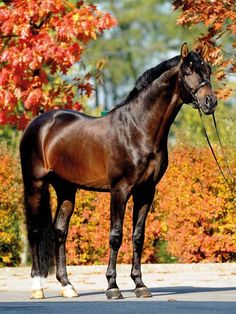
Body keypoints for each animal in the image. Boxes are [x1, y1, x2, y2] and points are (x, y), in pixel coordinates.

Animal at [20, 42, 218, 300]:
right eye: (188, 72)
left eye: (208, 70)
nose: (210, 102)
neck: (138, 128)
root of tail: (38, 124)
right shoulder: (120, 190)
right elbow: (116, 236)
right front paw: (112, 287)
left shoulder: (146, 191)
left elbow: (138, 236)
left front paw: (140, 285)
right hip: (34, 184)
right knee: (34, 231)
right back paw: (37, 288)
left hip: (66, 189)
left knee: (60, 231)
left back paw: (67, 286)